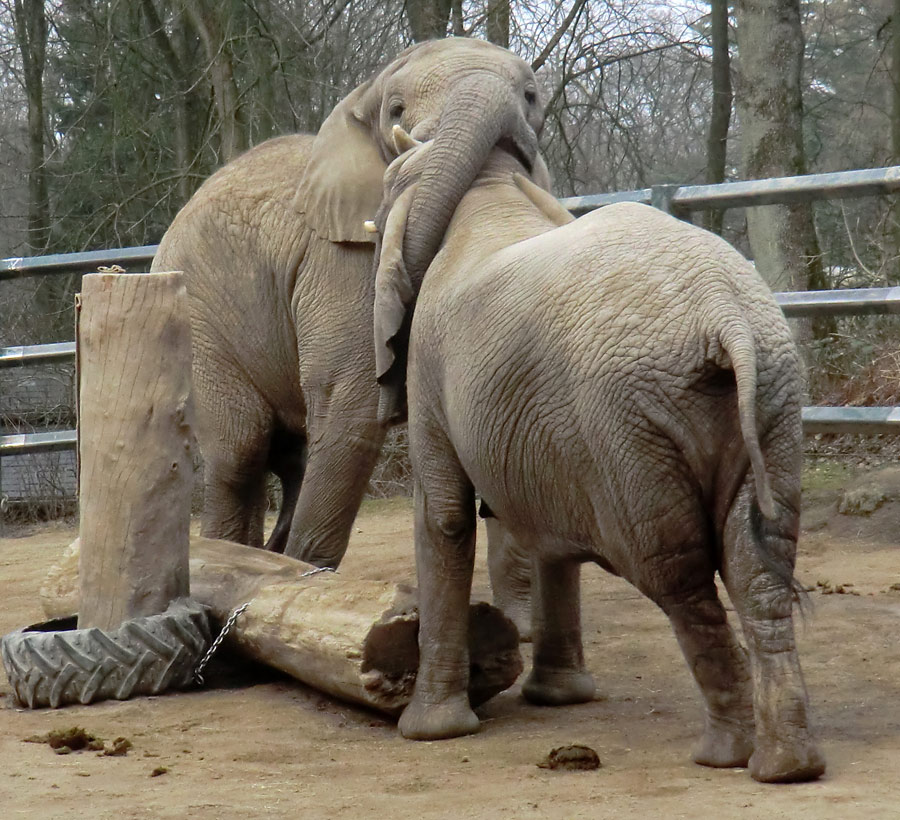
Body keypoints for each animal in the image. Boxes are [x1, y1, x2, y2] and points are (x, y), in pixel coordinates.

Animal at [152, 36, 548, 564]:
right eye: (395, 110)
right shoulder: (341, 261)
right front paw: (306, 572)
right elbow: (350, 402)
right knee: (241, 447)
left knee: (287, 453)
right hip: (197, 313)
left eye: (531, 97)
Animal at [370, 131, 824, 784]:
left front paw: (428, 732)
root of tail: (725, 313)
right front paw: (558, 700)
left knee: (677, 574)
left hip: (629, 417)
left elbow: (445, 517)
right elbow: (542, 530)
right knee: (758, 564)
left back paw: (725, 754)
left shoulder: (429, 368)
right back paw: (786, 766)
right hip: (775, 394)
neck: (486, 187)